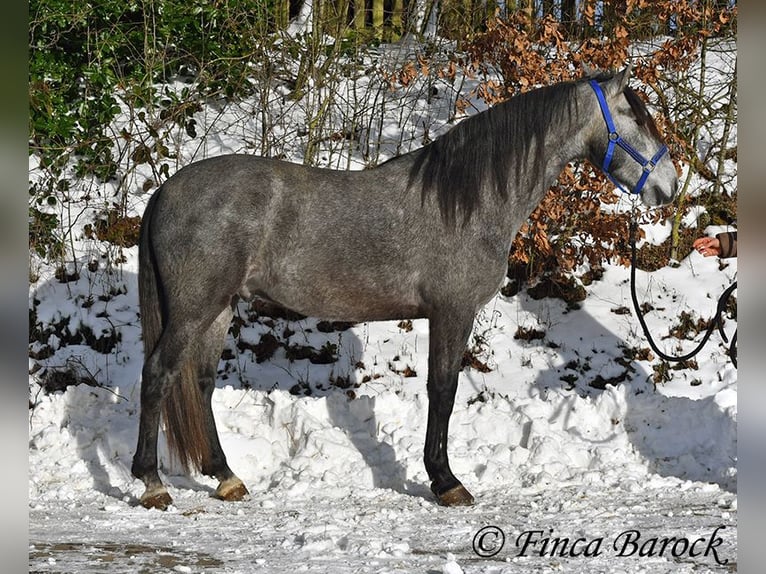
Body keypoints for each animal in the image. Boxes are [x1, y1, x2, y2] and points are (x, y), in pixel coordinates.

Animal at [131, 65, 678, 510]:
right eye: (637, 117)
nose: (669, 188)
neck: (468, 200)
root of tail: (165, 191)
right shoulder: (453, 312)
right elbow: (443, 389)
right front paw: (447, 482)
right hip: (193, 309)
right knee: (158, 374)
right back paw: (152, 483)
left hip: (219, 308)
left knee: (200, 382)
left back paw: (226, 477)